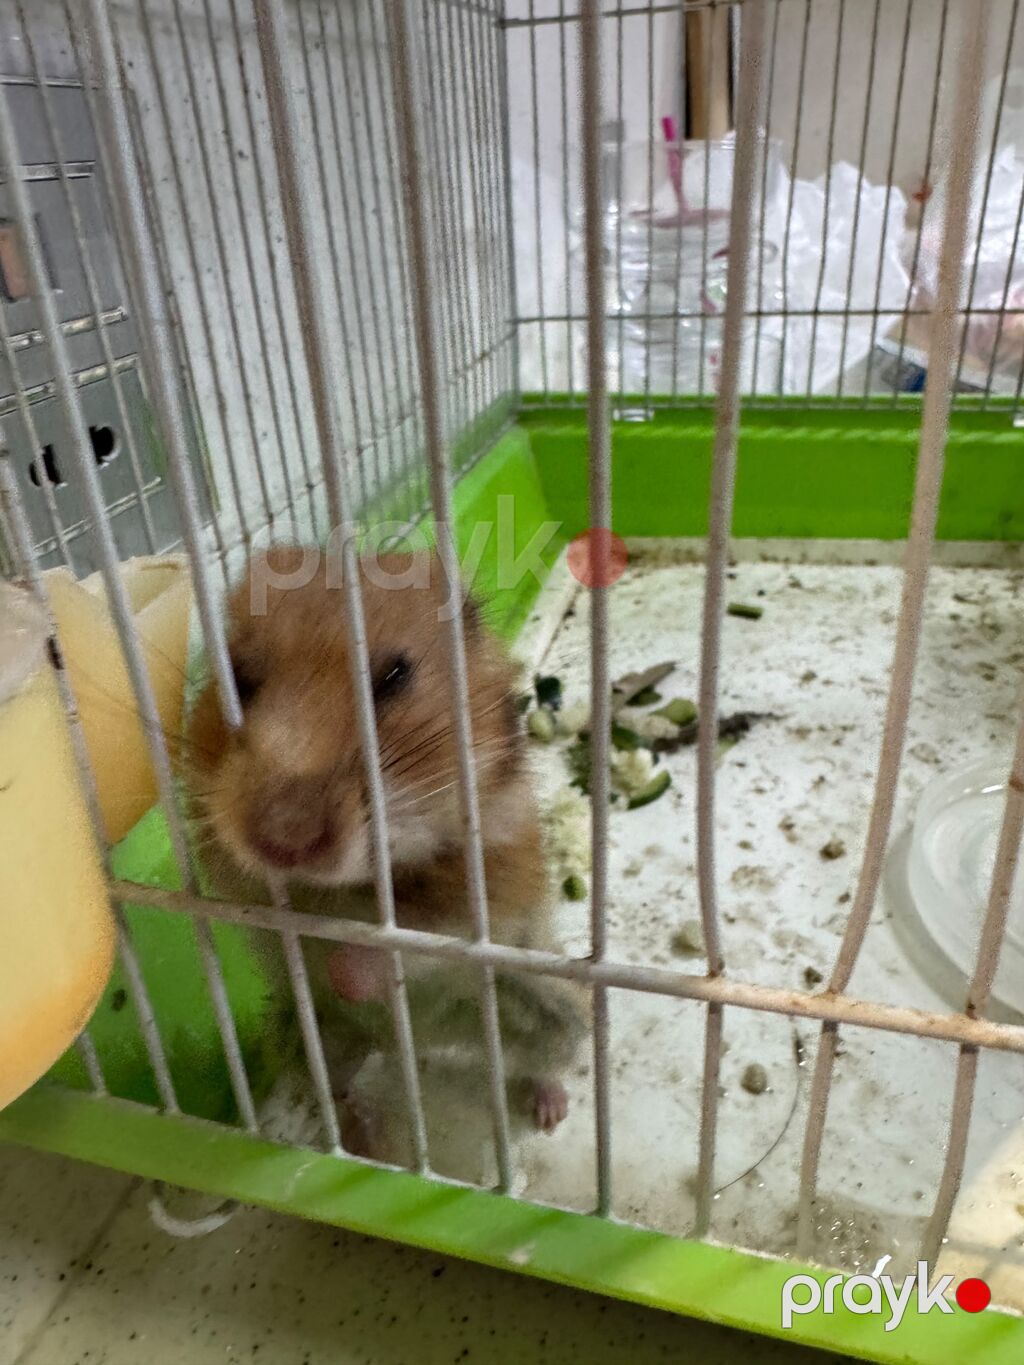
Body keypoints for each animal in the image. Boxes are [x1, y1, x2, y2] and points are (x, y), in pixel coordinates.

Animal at [187, 544, 589, 1154]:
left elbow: (413, 940)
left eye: (396, 676)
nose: (284, 839)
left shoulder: (488, 889)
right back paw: (362, 1132)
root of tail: (416, 1045)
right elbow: (258, 903)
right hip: (306, 1040)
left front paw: (343, 964)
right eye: (240, 679)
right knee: (339, 1087)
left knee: (543, 1060)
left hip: (552, 1010)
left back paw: (547, 1109)